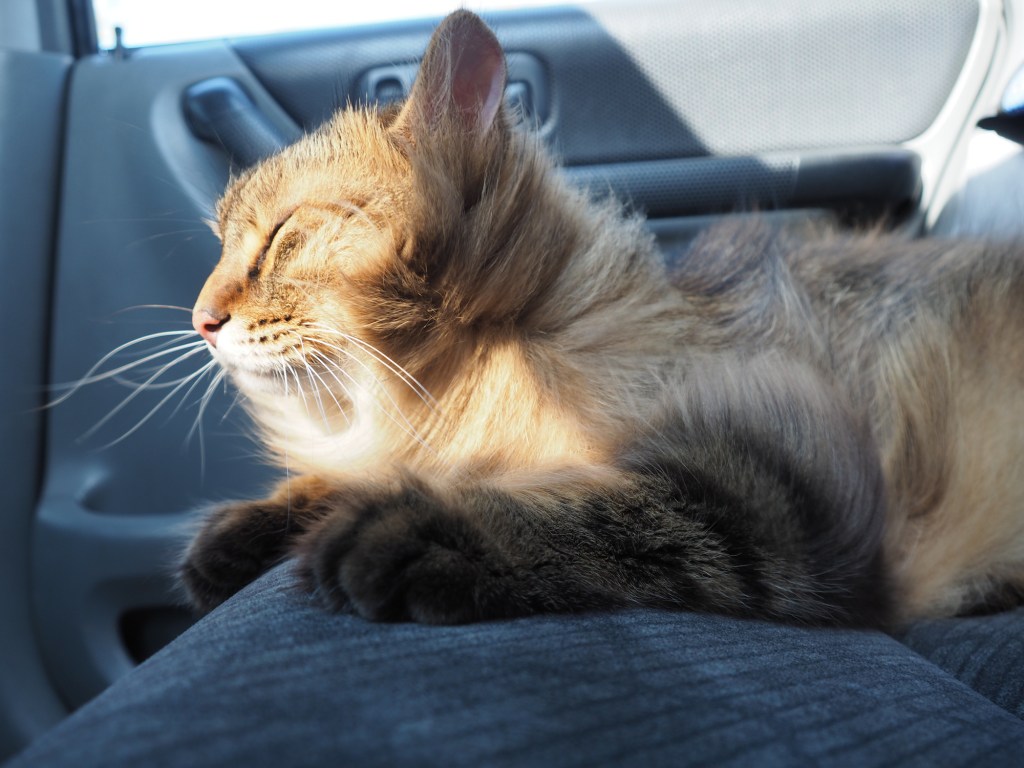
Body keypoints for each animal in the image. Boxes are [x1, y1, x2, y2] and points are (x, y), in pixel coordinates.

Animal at [180, 9, 1024, 626]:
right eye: (221, 242)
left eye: (282, 237)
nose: (201, 319)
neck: (453, 398)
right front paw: (249, 528)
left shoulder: (785, 485)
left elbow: (607, 517)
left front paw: (428, 527)